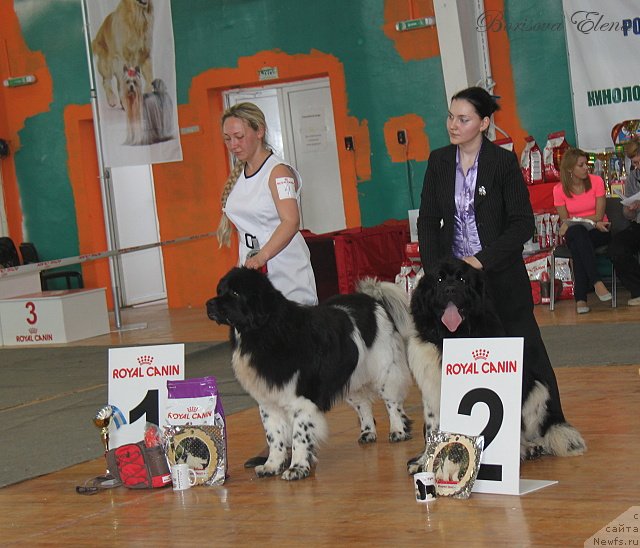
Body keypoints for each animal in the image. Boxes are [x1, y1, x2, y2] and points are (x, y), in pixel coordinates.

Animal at [208, 268, 412, 482]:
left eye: (235, 293)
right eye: (220, 290)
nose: (209, 304)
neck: (266, 332)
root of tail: (371, 299)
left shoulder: (302, 401)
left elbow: (299, 436)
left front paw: (297, 468)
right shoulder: (268, 403)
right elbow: (274, 436)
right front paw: (272, 465)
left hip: (385, 370)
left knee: (392, 402)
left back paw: (398, 430)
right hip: (350, 376)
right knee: (363, 404)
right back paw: (368, 432)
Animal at [408, 260, 588, 474]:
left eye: (462, 279)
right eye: (439, 280)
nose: (450, 289)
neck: (450, 336)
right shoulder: (431, 391)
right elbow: (432, 429)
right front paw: (424, 462)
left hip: (537, 390)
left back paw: (529, 448)